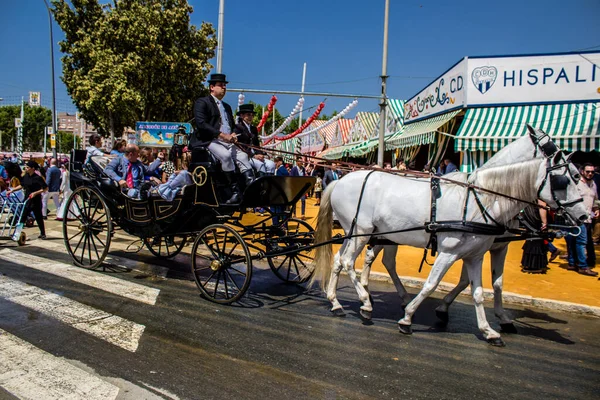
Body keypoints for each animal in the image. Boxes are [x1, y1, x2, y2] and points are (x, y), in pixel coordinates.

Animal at [312, 126, 588, 346]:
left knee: (344, 261)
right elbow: (432, 283)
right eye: (567, 178)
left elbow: (482, 289)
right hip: (362, 232)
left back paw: (336, 302)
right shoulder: (450, 251)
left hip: (364, 233)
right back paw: (365, 302)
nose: (585, 216)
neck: (482, 196)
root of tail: (340, 181)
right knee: (349, 261)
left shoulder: (480, 252)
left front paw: (490, 329)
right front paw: (409, 318)